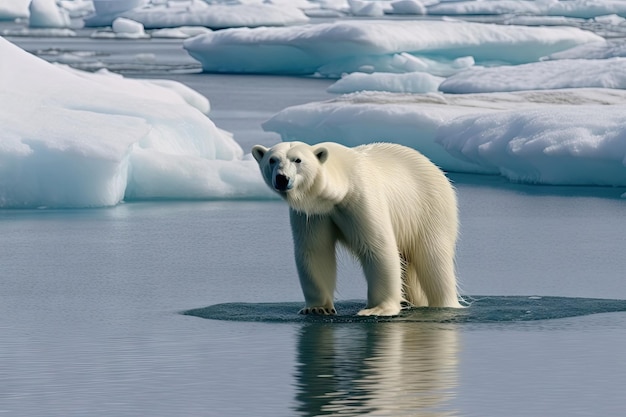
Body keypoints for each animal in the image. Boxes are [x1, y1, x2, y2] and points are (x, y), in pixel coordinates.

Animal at [251, 141, 460, 316]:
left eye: (298, 160)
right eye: (272, 159)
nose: (282, 178)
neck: (342, 182)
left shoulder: (361, 197)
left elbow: (378, 247)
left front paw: (377, 309)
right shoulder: (313, 212)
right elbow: (315, 251)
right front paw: (317, 308)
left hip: (430, 208)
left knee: (433, 258)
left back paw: (444, 304)